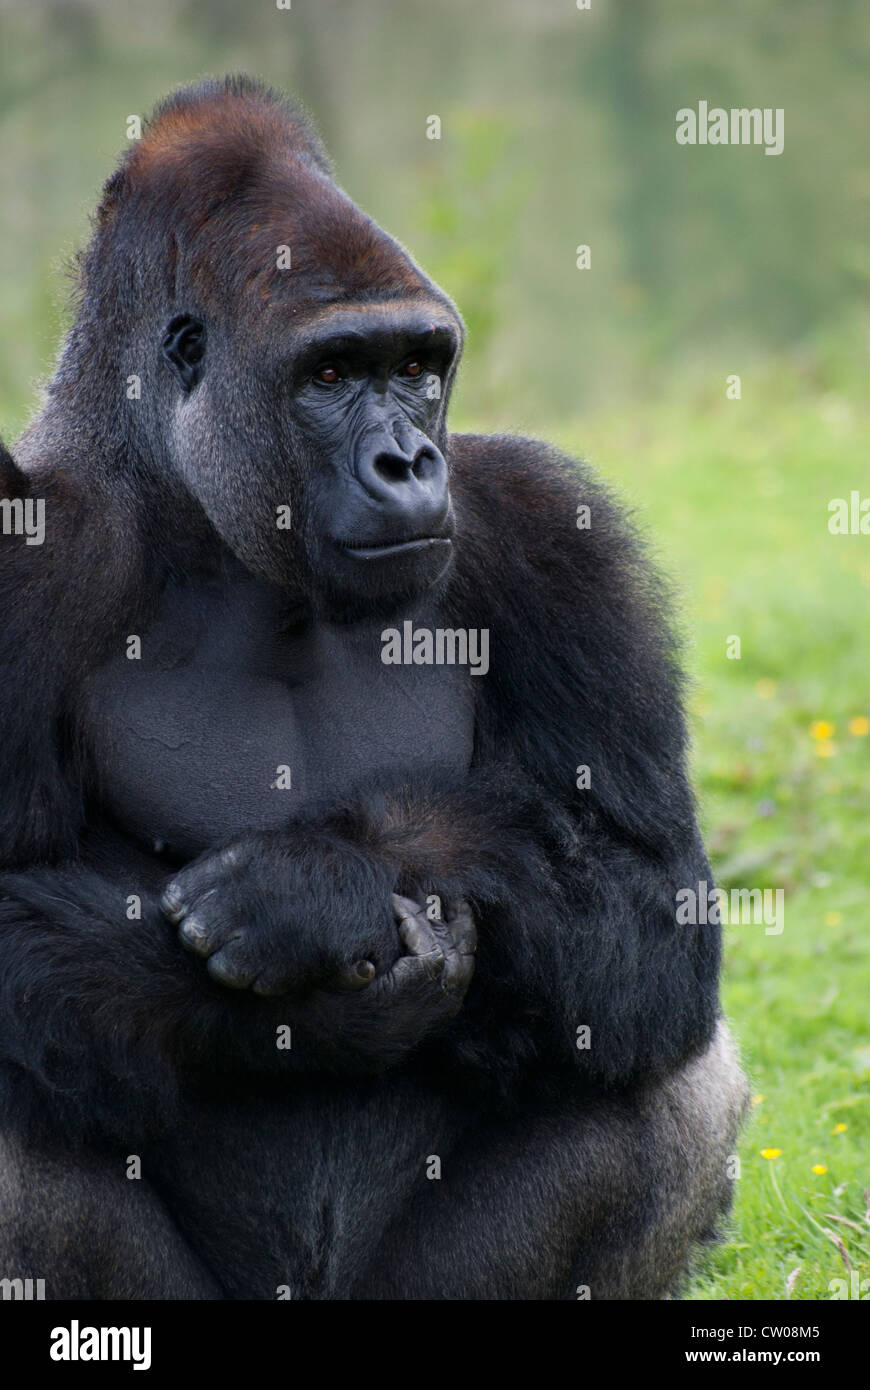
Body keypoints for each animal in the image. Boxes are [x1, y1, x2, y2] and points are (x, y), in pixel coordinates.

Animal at [0, 76, 744, 1295]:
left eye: (418, 367)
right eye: (333, 373)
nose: (409, 461)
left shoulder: (548, 525)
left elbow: (655, 898)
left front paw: (319, 882)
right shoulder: (25, 560)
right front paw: (325, 1006)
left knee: (654, 1062)